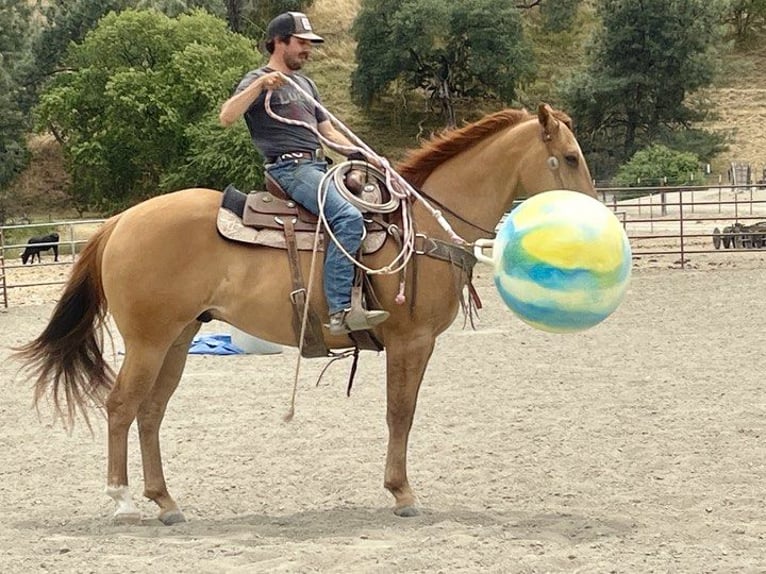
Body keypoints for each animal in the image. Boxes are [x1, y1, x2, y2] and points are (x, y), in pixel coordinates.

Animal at [14, 104, 595, 525]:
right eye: (569, 157)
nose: (593, 214)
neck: (422, 226)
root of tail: (119, 222)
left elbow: (401, 414)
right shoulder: (411, 340)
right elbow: (400, 413)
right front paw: (402, 493)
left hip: (176, 341)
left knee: (150, 412)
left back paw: (166, 503)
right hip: (148, 341)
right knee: (120, 407)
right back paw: (121, 500)